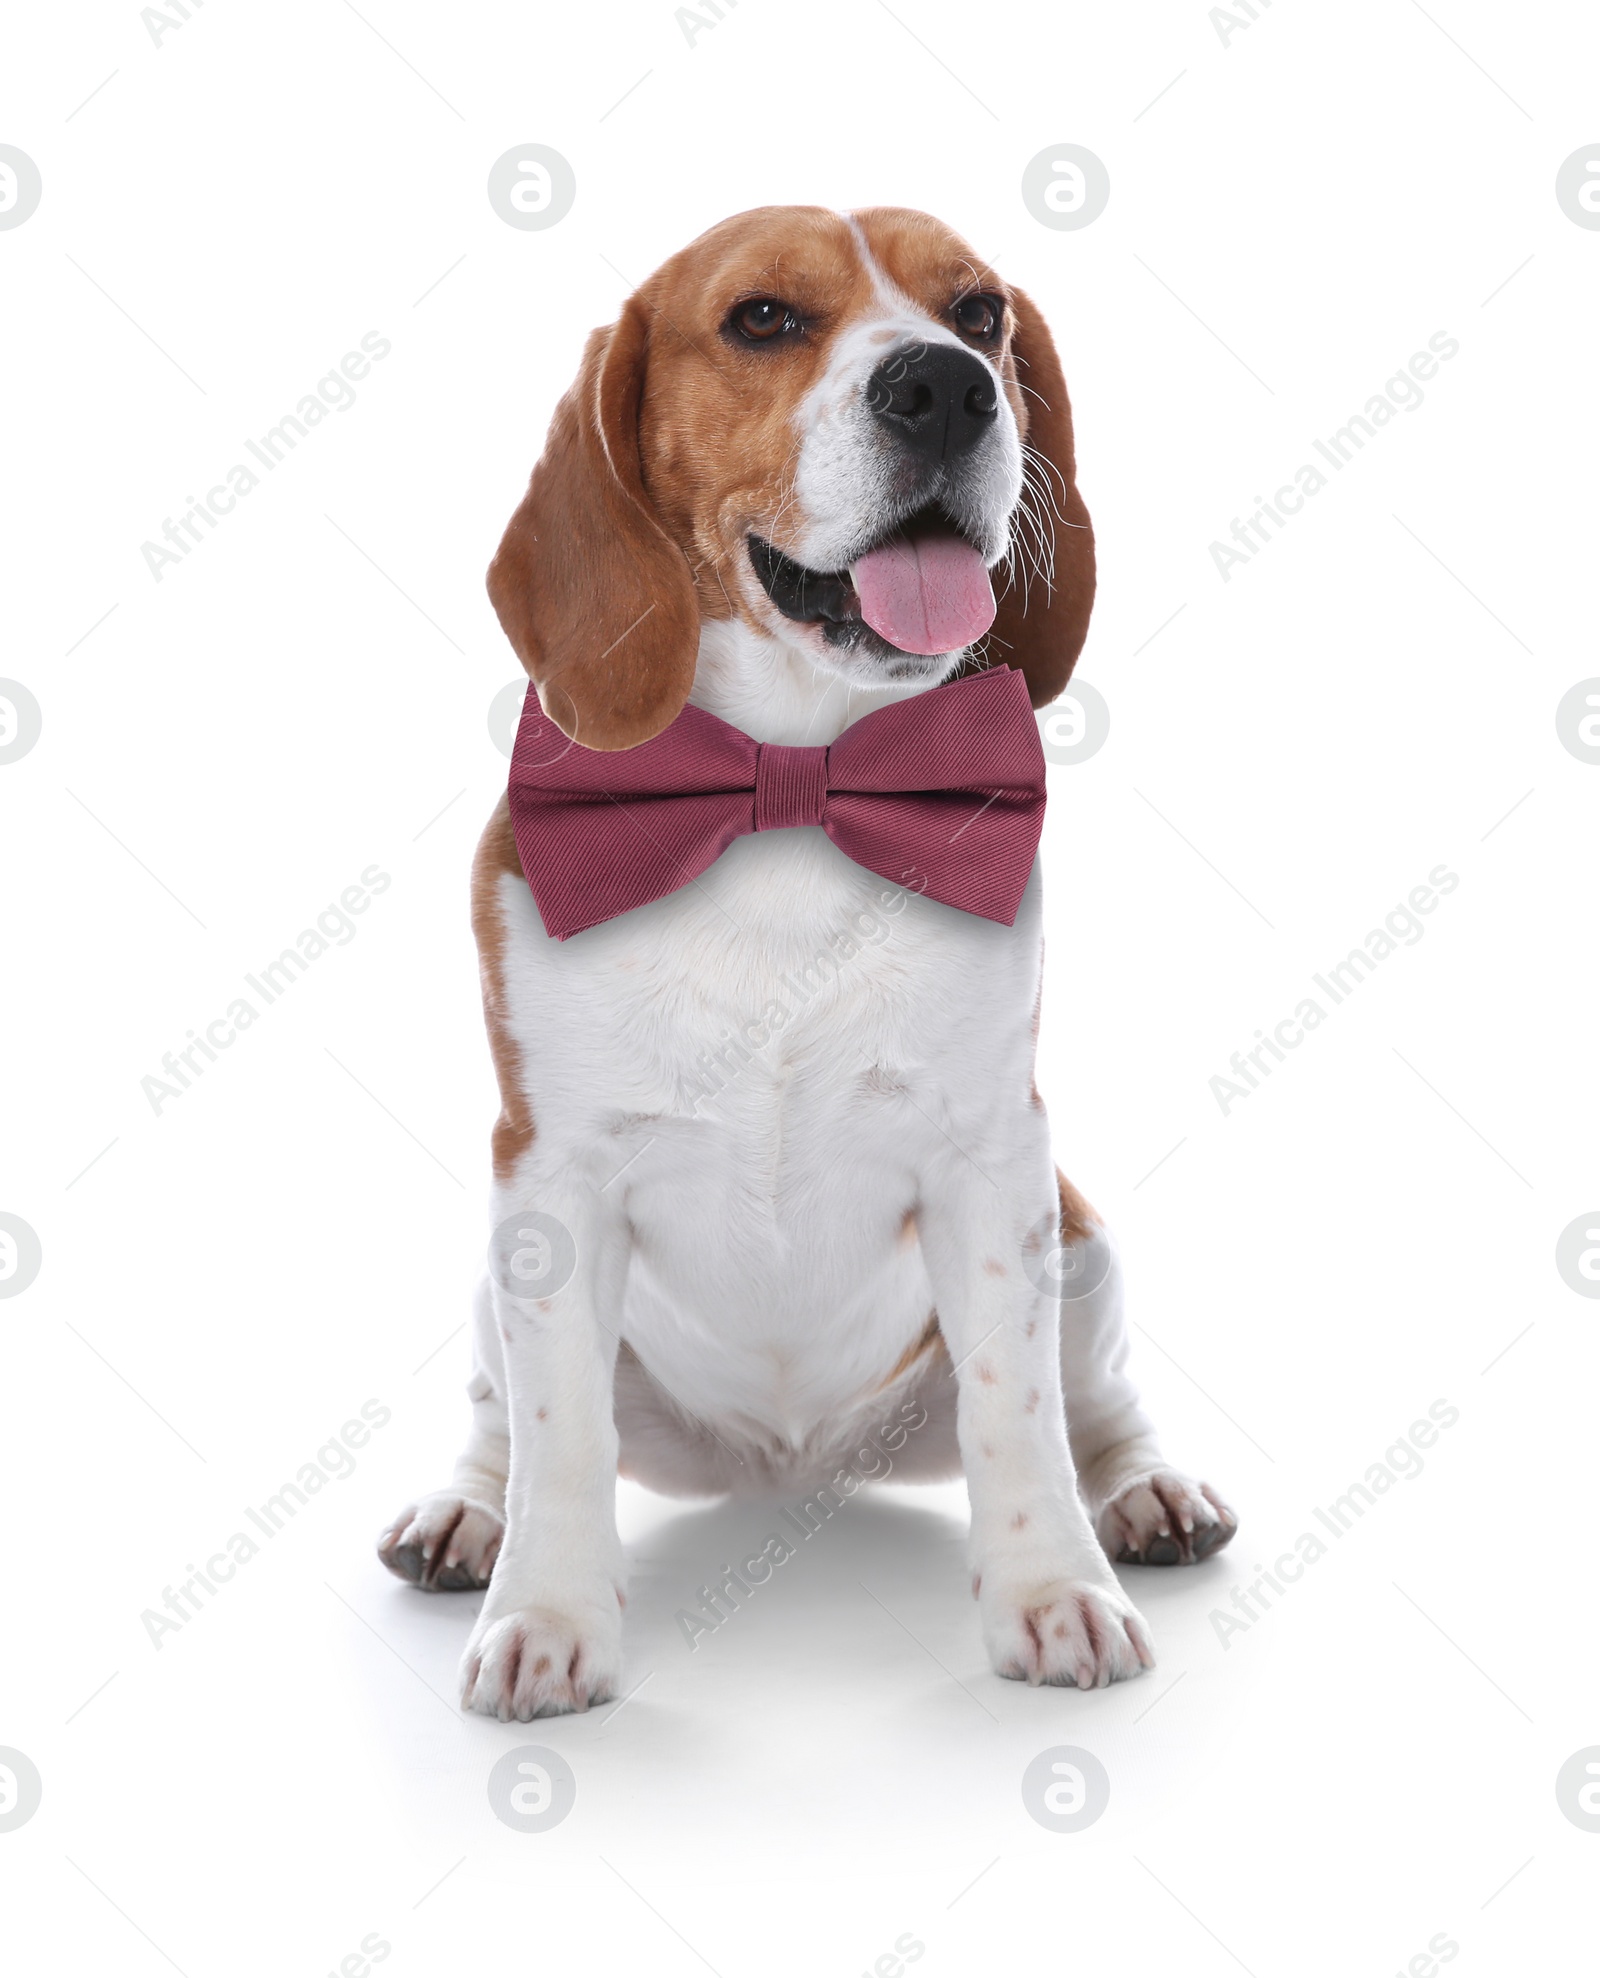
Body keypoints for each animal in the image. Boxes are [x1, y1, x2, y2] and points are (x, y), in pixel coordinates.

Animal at [377, 204, 1234, 1716]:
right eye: (764, 318)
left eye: (980, 311)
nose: (945, 385)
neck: (793, 780)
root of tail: (788, 1467)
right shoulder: (553, 1177)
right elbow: (558, 1431)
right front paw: (546, 1614)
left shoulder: (990, 1158)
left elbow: (1021, 1415)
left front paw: (1052, 1593)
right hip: (502, 1275)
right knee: (501, 1418)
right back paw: (467, 1513)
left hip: (1077, 1233)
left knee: (1095, 1403)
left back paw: (1144, 1492)